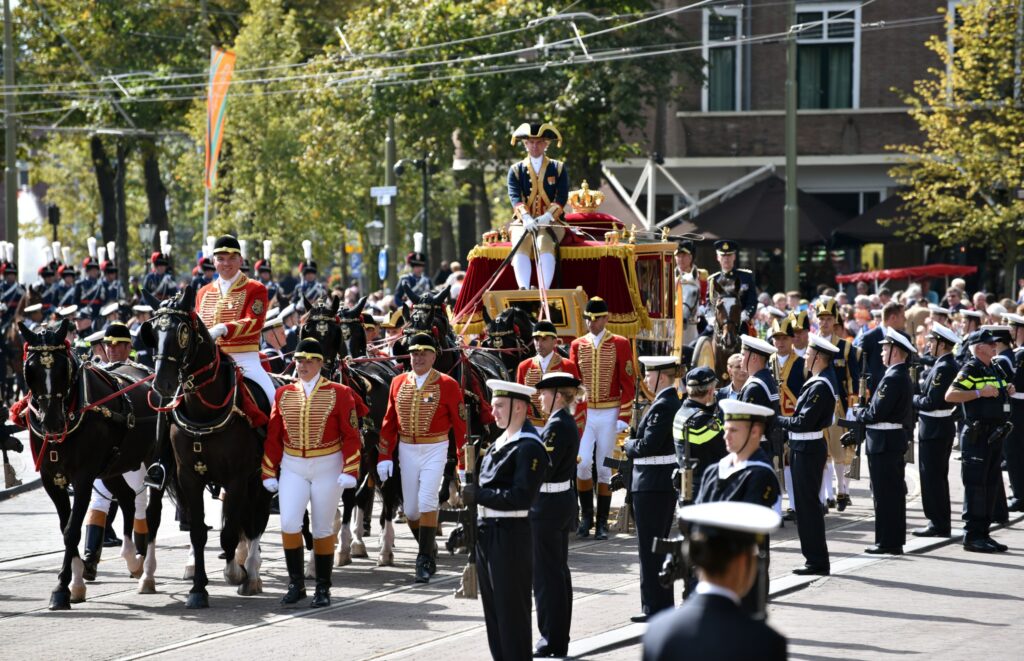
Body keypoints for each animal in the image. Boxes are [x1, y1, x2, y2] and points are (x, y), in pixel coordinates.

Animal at [17, 321, 164, 609]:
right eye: (32, 369)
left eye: (62, 368)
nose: (52, 422)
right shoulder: (52, 479)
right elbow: (66, 527)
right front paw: (75, 583)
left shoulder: (83, 478)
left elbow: (72, 530)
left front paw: (61, 589)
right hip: (112, 469)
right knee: (127, 500)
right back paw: (132, 559)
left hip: (156, 464)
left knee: (152, 512)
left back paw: (148, 574)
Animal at [142, 286, 276, 609]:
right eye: (152, 331)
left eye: (182, 332)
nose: (162, 384)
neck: (203, 410)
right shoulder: (188, 476)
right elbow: (199, 532)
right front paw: (198, 590)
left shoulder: (237, 478)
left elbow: (229, 531)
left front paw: (235, 572)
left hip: (260, 480)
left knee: (256, 521)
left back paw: (251, 573)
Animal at [299, 298, 401, 568]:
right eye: (308, 329)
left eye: (332, 333)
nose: (314, 370)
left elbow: (347, 495)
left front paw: (343, 546)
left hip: (382, 450)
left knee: (385, 489)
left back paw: (384, 547)